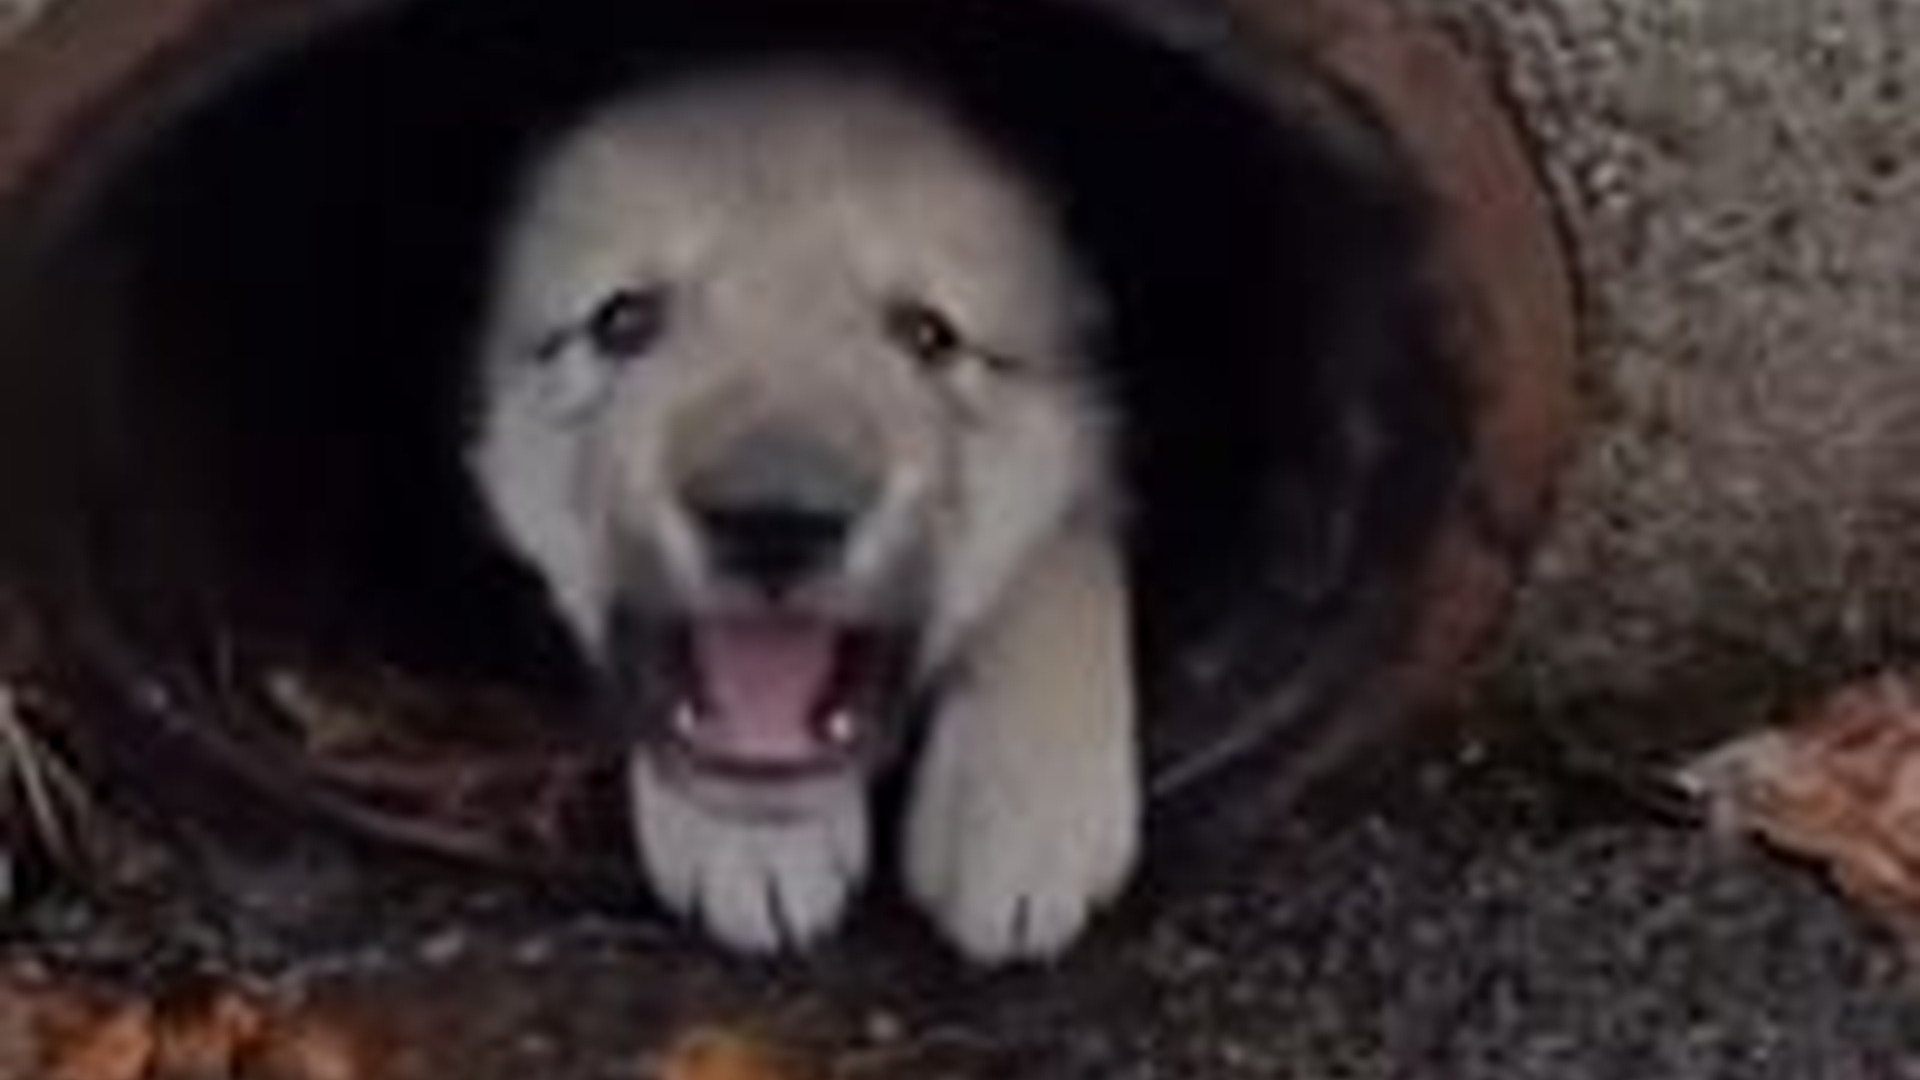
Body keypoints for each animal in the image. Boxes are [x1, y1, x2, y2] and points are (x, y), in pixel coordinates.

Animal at [466, 64, 1138, 963]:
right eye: (623, 320)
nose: (773, 519)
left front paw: (1029, 807)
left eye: (927, 334)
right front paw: (749, 846)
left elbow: (1066, 554)